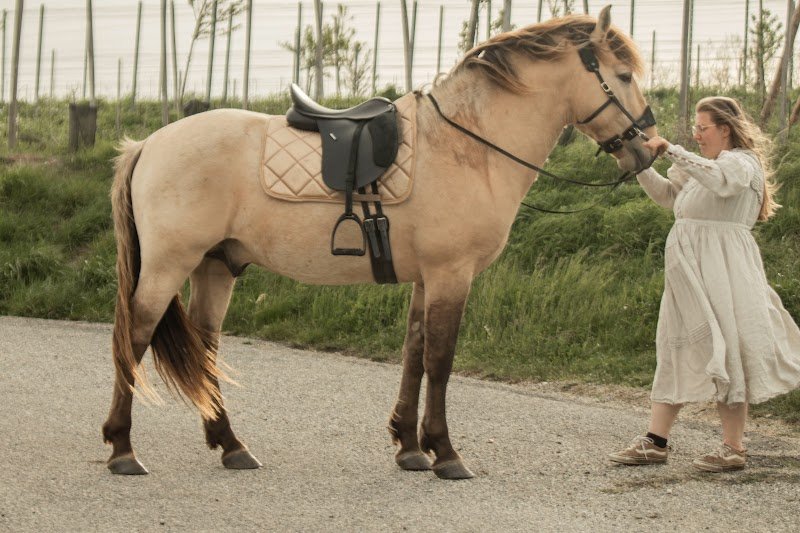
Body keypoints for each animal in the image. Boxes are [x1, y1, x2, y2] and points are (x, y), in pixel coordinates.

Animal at [102, 7, 656, 479]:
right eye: (624, 76)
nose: (647, 149)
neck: (467, 144)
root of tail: (149, 144)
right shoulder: (451, 275)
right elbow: (440, 360)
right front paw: (445, 453)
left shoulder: (426, 279)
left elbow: (414, 352)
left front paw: (410, 446)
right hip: (169, 266)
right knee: (135, 337)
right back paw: (123, 449)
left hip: (216, 267)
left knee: (206, 346)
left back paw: (232, 446)